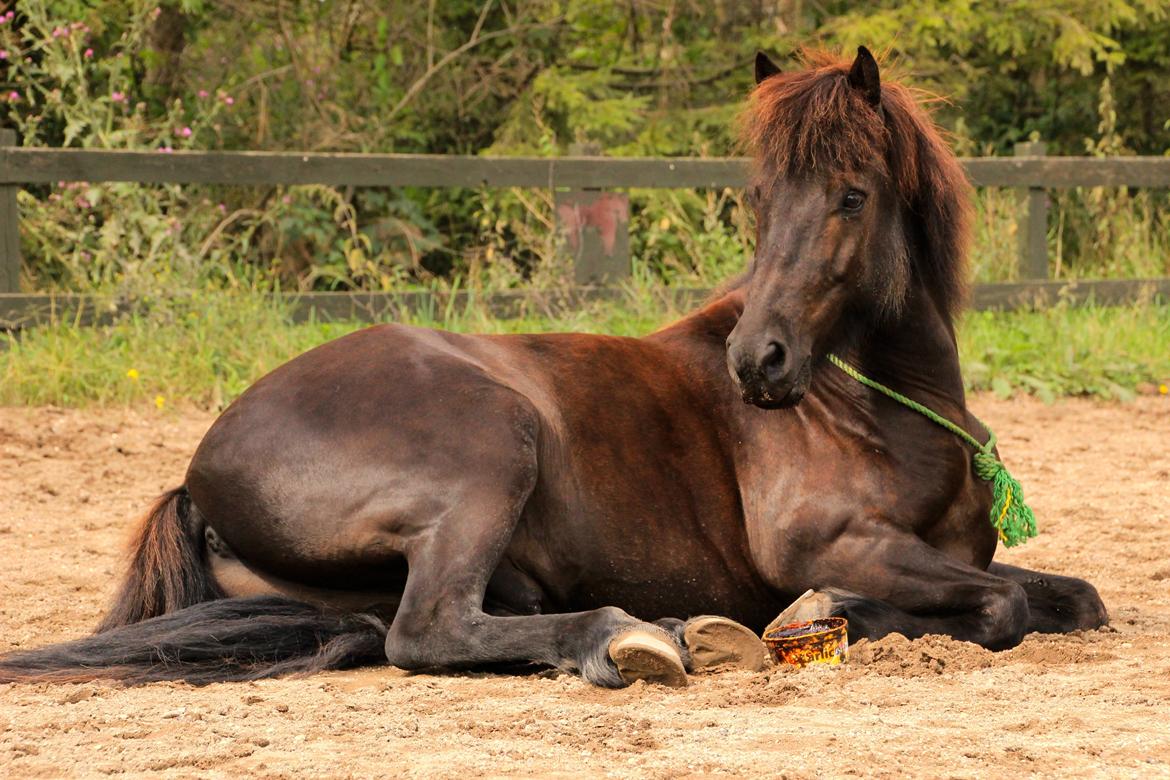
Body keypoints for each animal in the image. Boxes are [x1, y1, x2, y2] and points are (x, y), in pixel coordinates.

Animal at [0, 45, 1104, 687]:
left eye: (850, 195)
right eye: (760, 197)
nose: (759, 362)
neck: (878, 408)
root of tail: (198, 474)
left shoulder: (958, 554)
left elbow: (1071, 598)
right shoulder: (828, 544)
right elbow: (998, 608)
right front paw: (828, 615)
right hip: (495, 447)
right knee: (427, 633)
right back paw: (630, 639)